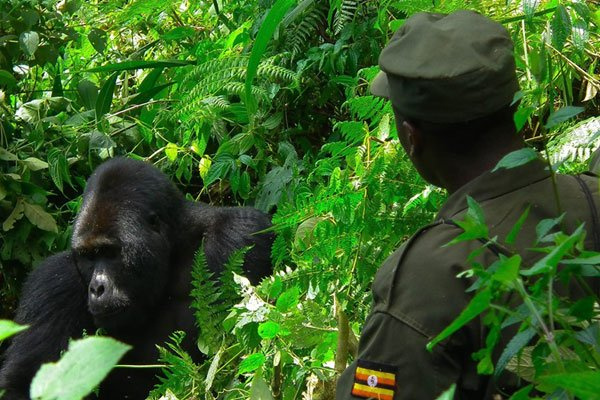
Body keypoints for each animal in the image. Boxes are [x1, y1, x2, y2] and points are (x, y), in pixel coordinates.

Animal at [0, 158, 274, 398]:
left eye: (110, 253)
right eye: (89, 256)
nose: (96, 288)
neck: (173, 252)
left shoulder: (240, 234)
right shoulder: (52, 283)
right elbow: (22, 383)